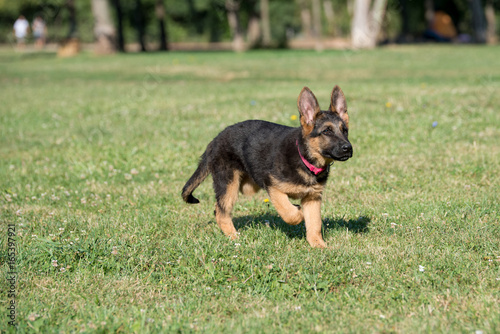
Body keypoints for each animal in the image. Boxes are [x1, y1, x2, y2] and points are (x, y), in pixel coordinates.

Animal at [183, 86, 352, 248]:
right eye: (327, 131)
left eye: (345, 131)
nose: (348, 148)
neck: (304, 158)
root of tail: (214, 141)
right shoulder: (273, 186)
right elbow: (289, 212)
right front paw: (298, 212)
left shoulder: (312, 198)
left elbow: (314, 224)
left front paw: (318, 245)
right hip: (229, 183)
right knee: (221, 213)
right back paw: (235, 238)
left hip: (246, 185)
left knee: (219, 209)